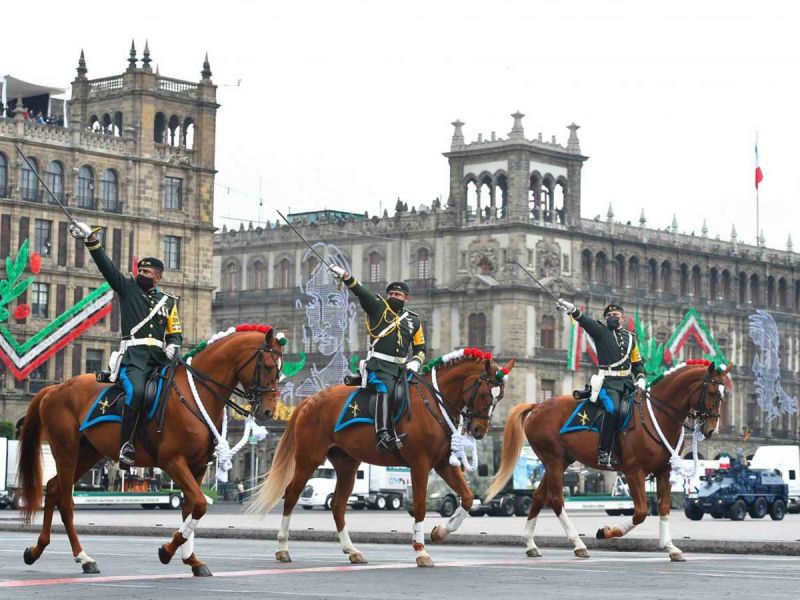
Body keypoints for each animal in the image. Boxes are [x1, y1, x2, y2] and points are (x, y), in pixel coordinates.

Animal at [15, 326, 284, 576]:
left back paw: (37, 550)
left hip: (88, 452)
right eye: (268, 365)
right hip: (66, 450)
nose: (269, 411)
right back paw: (83, 557)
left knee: (53, 489)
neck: (196, 393)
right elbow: (199, 504)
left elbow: (190, 508)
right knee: (65, 500)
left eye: (281, 370)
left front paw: (192, 559)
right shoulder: (172, 462)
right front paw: (167, 551)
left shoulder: (197, 466)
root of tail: (56, 389)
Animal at [248, 350, 520, 564]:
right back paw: (282, 547)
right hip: (309, 458)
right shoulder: (420, 464)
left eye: (500, 397)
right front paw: (421, 551)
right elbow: (420, 505)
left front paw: (440, 532)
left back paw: (352, 550)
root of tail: (309, 402)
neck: (433, 403)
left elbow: (468, 497)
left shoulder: (443, 464)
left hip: (346, 464)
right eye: (485, 393)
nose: (479, 429)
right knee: (292, 495)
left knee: (338, 504)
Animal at [484, 360, 728, 564]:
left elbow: (664, 508)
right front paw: (607, 532)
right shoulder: (634, 472)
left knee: (538, 496)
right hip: (553, 460)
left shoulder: (663, 472)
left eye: (723, 396)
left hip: (562, 461)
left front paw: (670, 547)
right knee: (555, 499)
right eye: (712, 392)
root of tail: (538, 405)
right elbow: (640, 512)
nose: (711, 430)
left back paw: (530, 544)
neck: (656, 416)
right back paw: (578, 544)